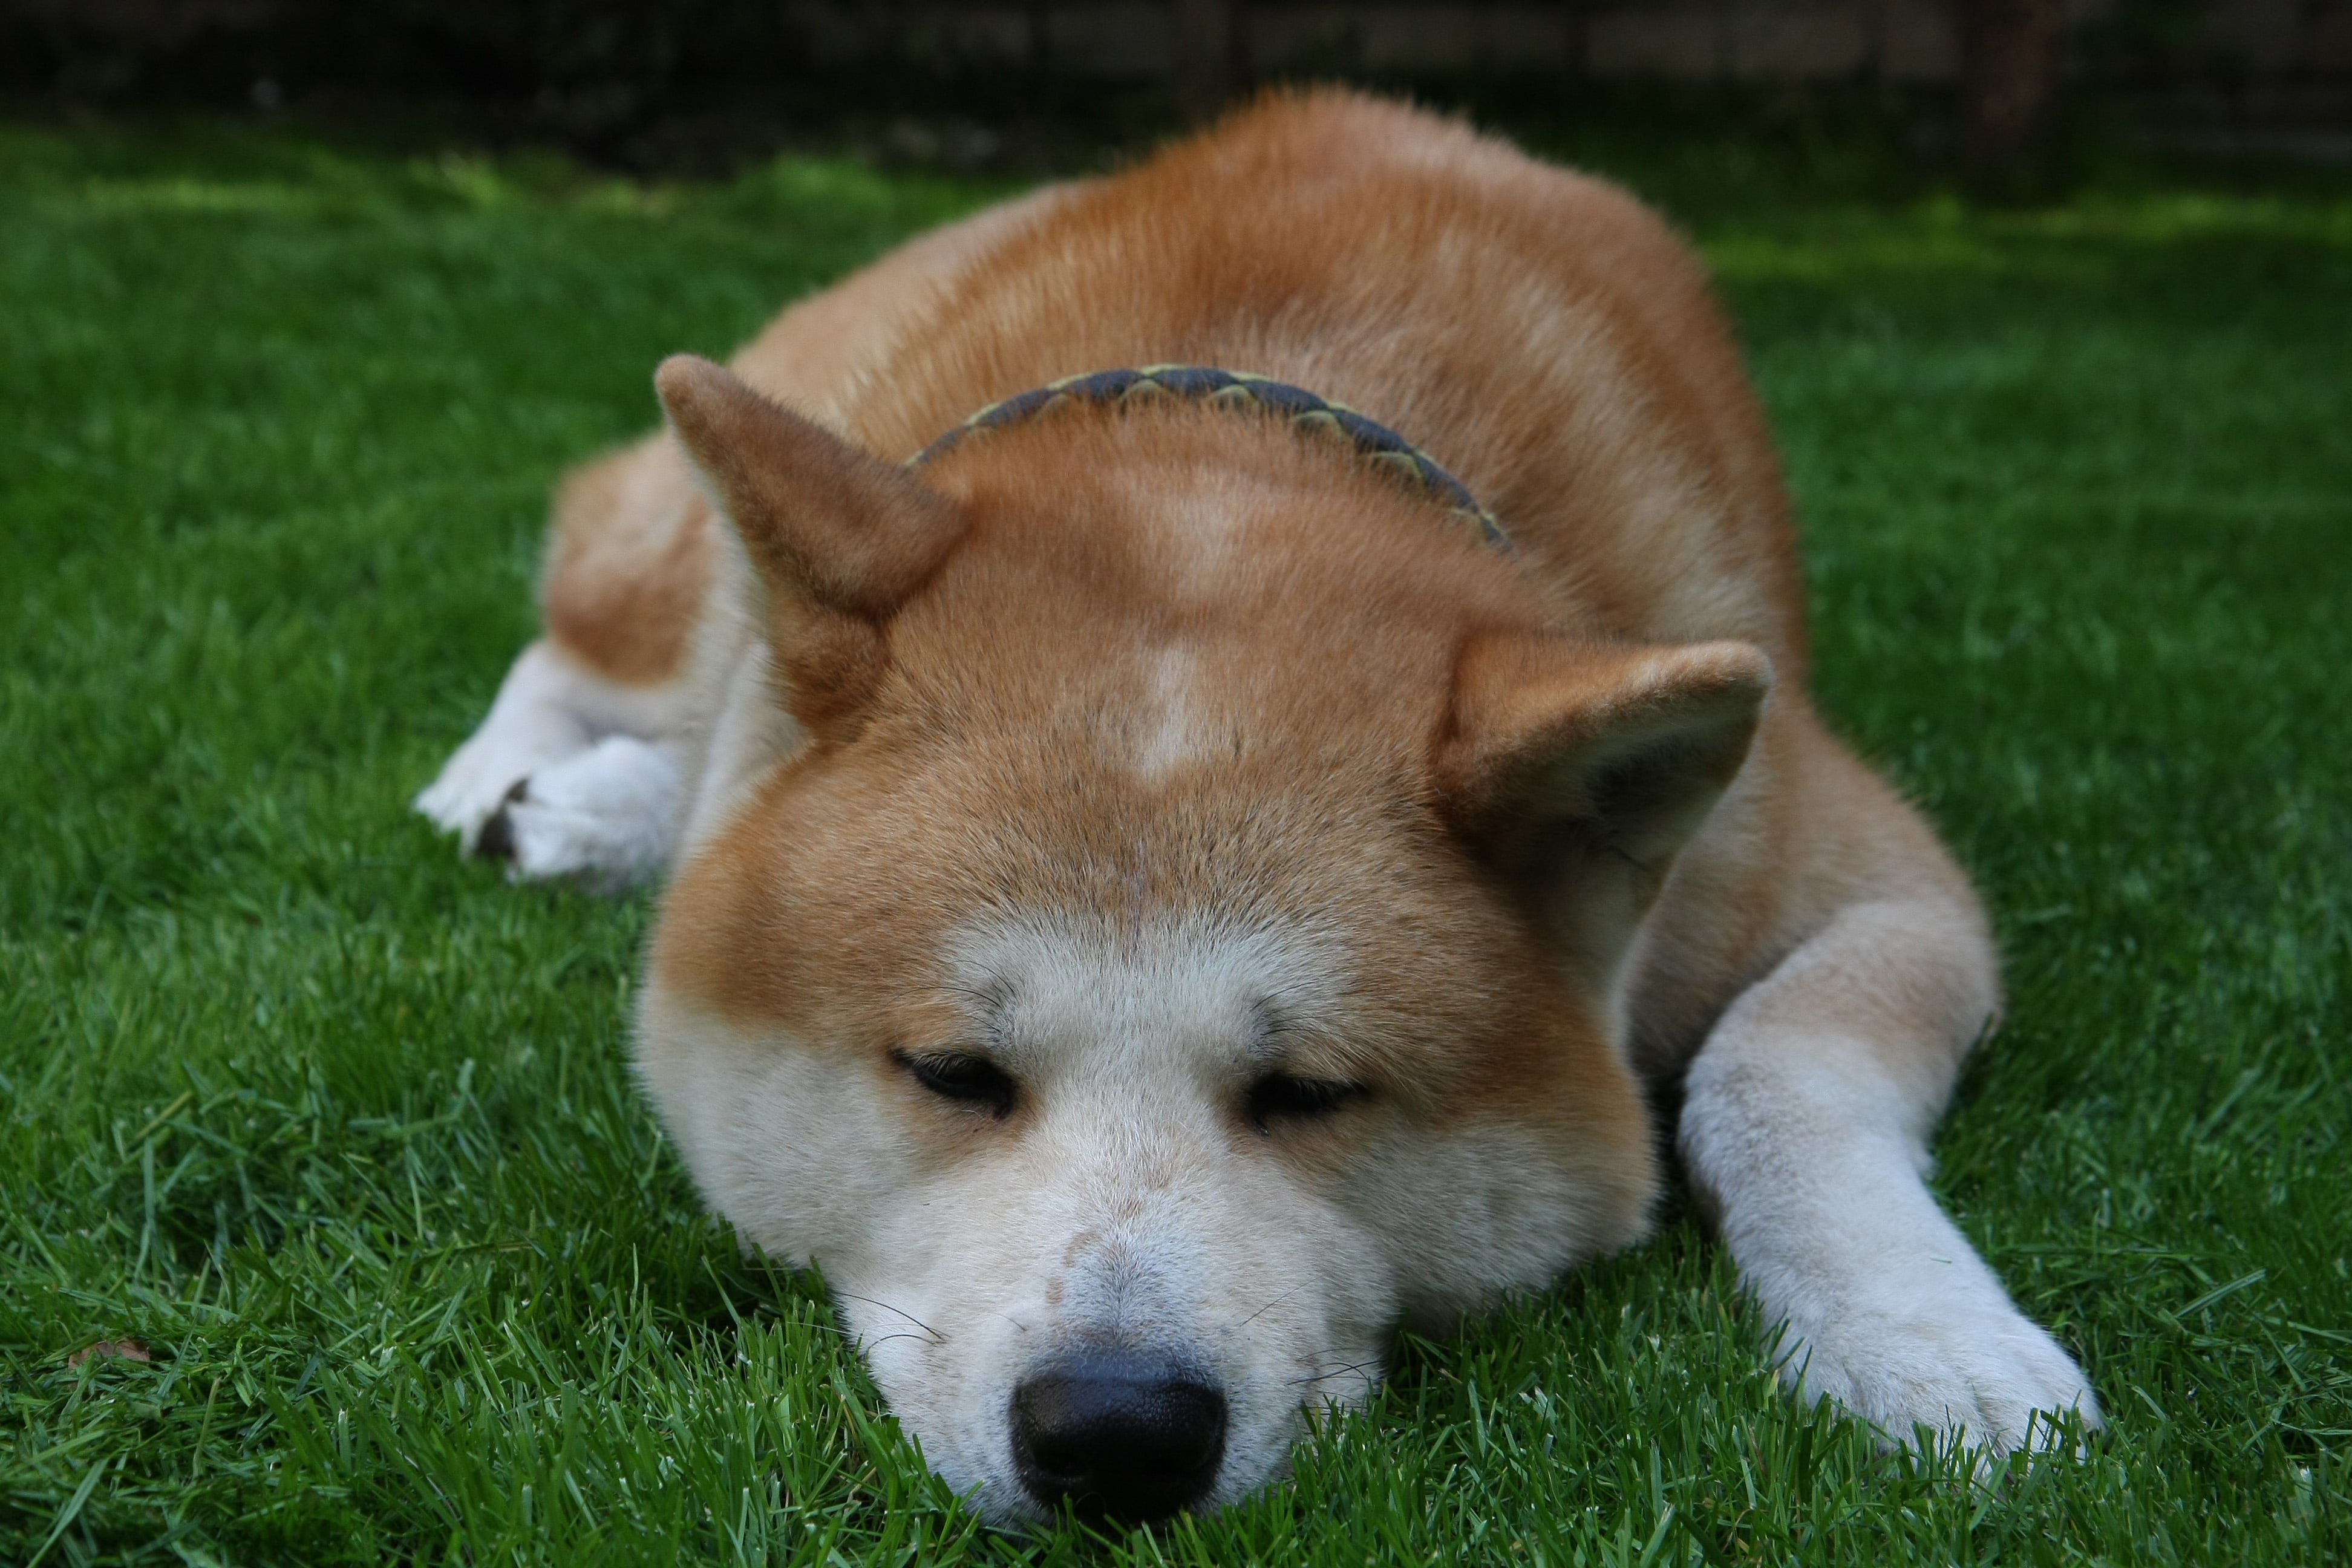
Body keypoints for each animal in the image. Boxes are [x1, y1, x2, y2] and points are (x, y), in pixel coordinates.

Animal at [419, 92, 2098, 1523]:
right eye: (953, 1073)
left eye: (1312, 1093)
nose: (1113, 1432)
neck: (1260, 416)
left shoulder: (1876, 875)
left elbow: (1766, 1071)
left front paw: (1922, 1340)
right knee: (591, 635)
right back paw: (514, 790)